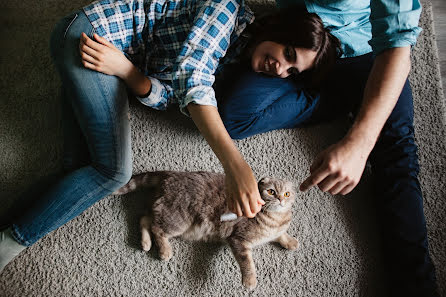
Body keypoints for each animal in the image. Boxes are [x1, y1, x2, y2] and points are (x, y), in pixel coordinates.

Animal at [113, 170, 298, 288]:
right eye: (271, 192)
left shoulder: (277, 230)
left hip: (162, 211)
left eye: (287, 194)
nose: (281, 199)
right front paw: (250, 281)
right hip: (178, 220)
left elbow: (282, 234)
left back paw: (145, 243)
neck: (275, 219)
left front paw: (290, 242)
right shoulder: (239, 240)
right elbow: (247, 263)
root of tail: (169, 174)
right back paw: (164, 250)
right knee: (156, 228)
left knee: (144, 218)